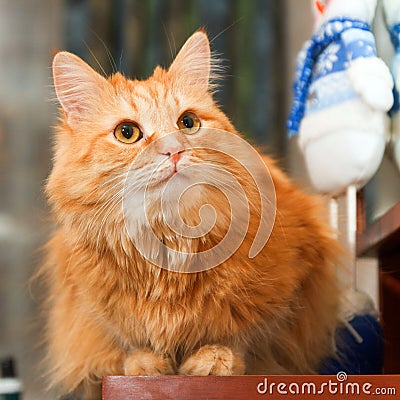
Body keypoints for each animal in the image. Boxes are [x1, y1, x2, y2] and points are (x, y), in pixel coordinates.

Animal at [43, 30, 340, 396]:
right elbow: (125, 346)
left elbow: (248, 337)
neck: (171, 244)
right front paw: (145, 363)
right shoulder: (88, 312)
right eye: (127, 133)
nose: (174, 150)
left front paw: (215, 357)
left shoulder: (296, 287)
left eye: (188, 123)